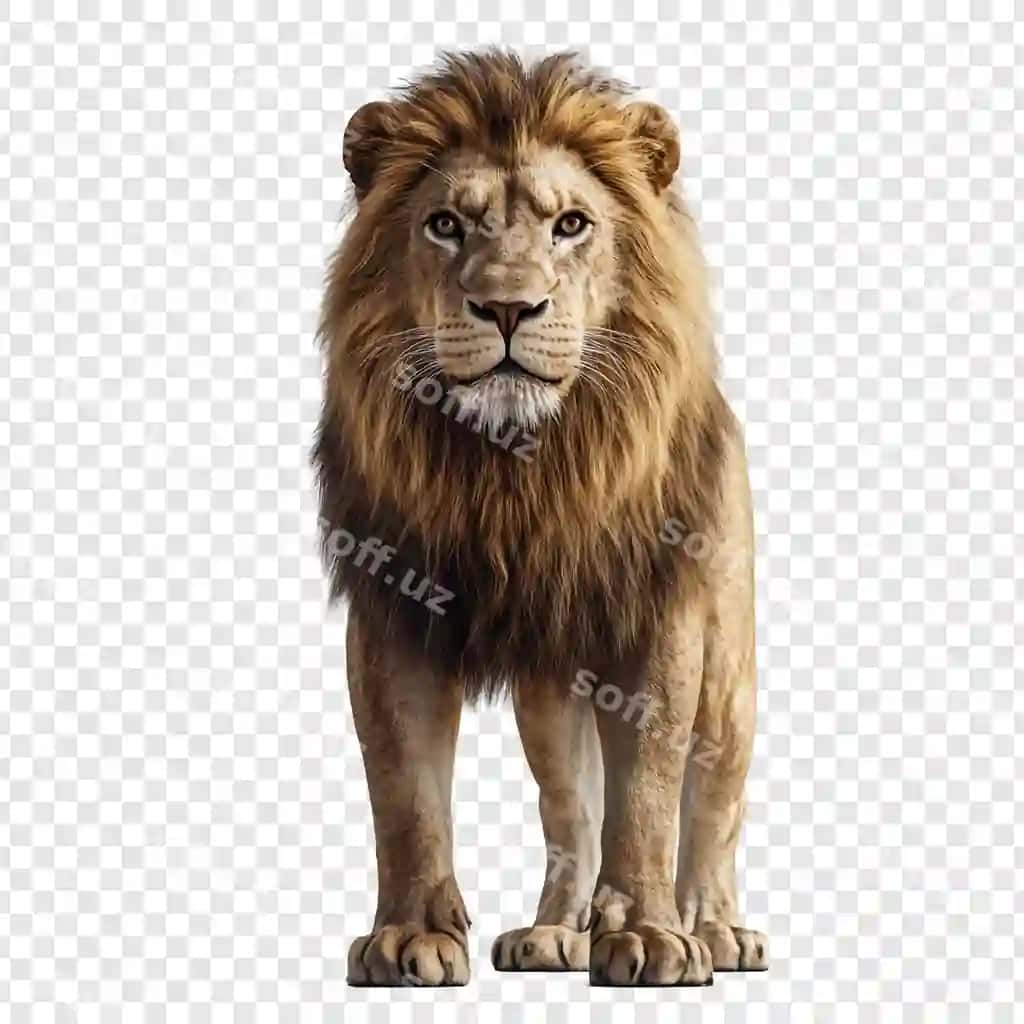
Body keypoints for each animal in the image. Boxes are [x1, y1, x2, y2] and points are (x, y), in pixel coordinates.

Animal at [314, 50, 767, 987]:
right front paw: (409, 936)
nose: (508, 307)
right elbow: (404, 793)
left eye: (571, 225)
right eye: (446, 225)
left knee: (714, 810)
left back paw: (716, 930)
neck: (519, 473)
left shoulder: (661, 617)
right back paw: (558, 932)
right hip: (551, 696)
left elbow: (651, 794)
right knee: (571, 813)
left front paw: (651, 939)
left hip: (729, 680)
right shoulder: (393, 608)